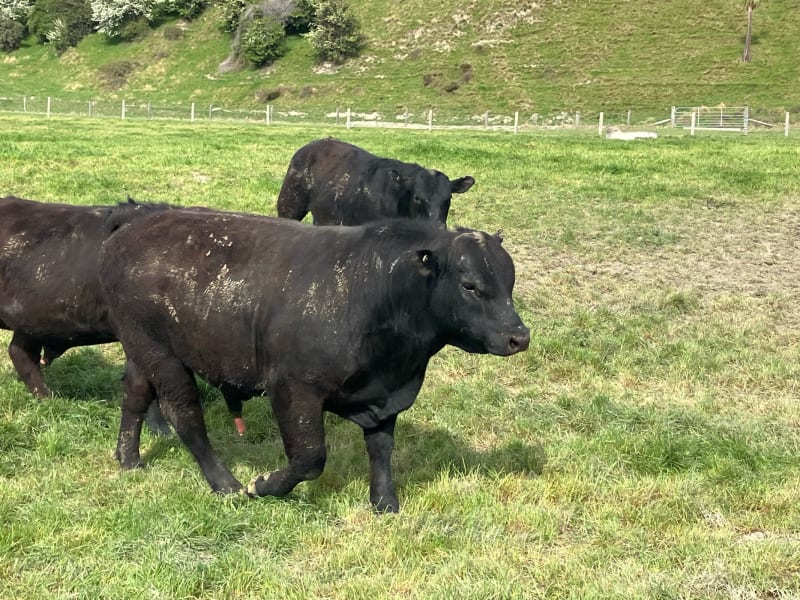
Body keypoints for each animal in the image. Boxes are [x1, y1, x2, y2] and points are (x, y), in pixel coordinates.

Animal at [98, 210, 530, 512]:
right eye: (470, 285)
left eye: (509, 281)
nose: (519, 336)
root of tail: (134, 227)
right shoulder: (293, 389)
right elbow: (310, 457)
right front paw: (264, 485)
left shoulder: (386, 397)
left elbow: (381, 449)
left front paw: (385, 503)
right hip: (163, 356)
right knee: (185, 414)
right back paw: (227, 484)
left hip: (141, 353)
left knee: (134, 395)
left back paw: (129, 459)